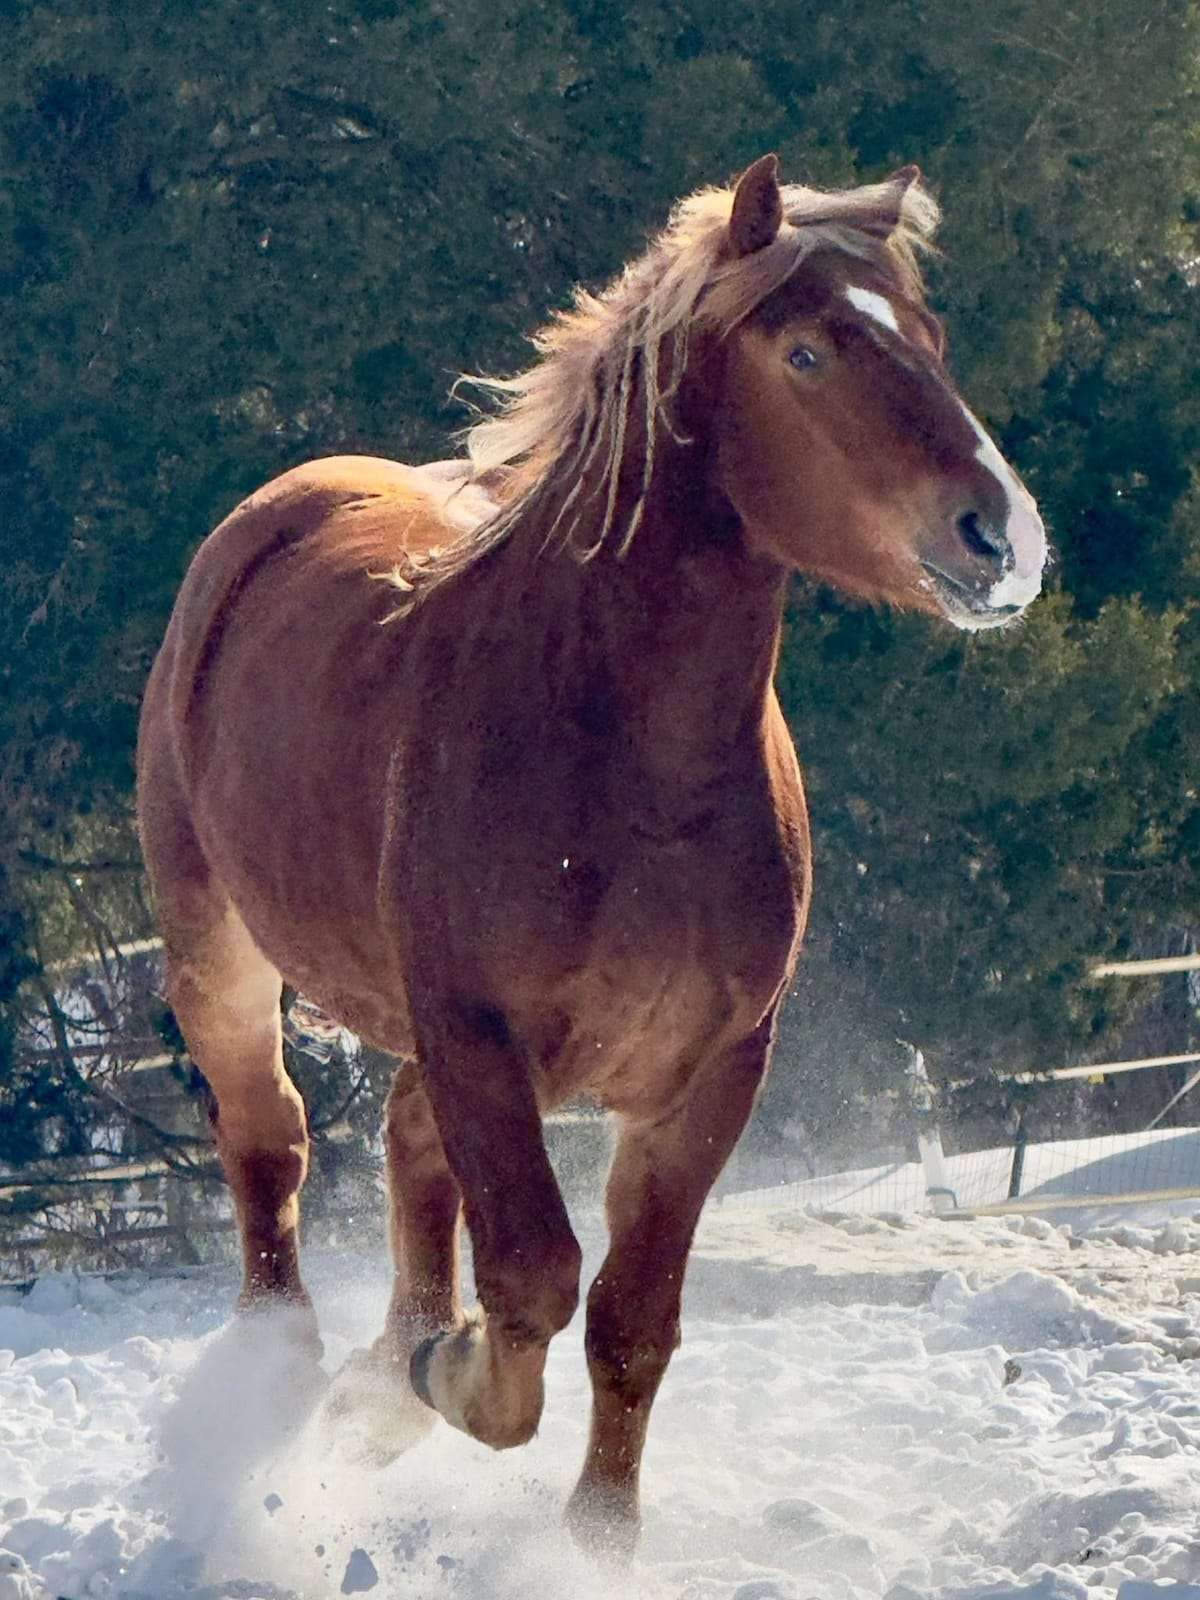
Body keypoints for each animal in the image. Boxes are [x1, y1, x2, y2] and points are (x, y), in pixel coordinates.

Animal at [136, 154, 1046, 1552]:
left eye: (930, 338)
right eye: (806, 352)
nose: (1000, 537)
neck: (630, 766)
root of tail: (271, 513)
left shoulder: (709, 1073)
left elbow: (630, 1317)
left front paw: (593, 1536)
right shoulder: (479, 1033)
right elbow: (532, 1278)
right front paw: (446, 1372)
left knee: (401, 1142)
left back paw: (379, 1368)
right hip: (218, 951)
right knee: (271, 1137)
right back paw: (294, 1369)